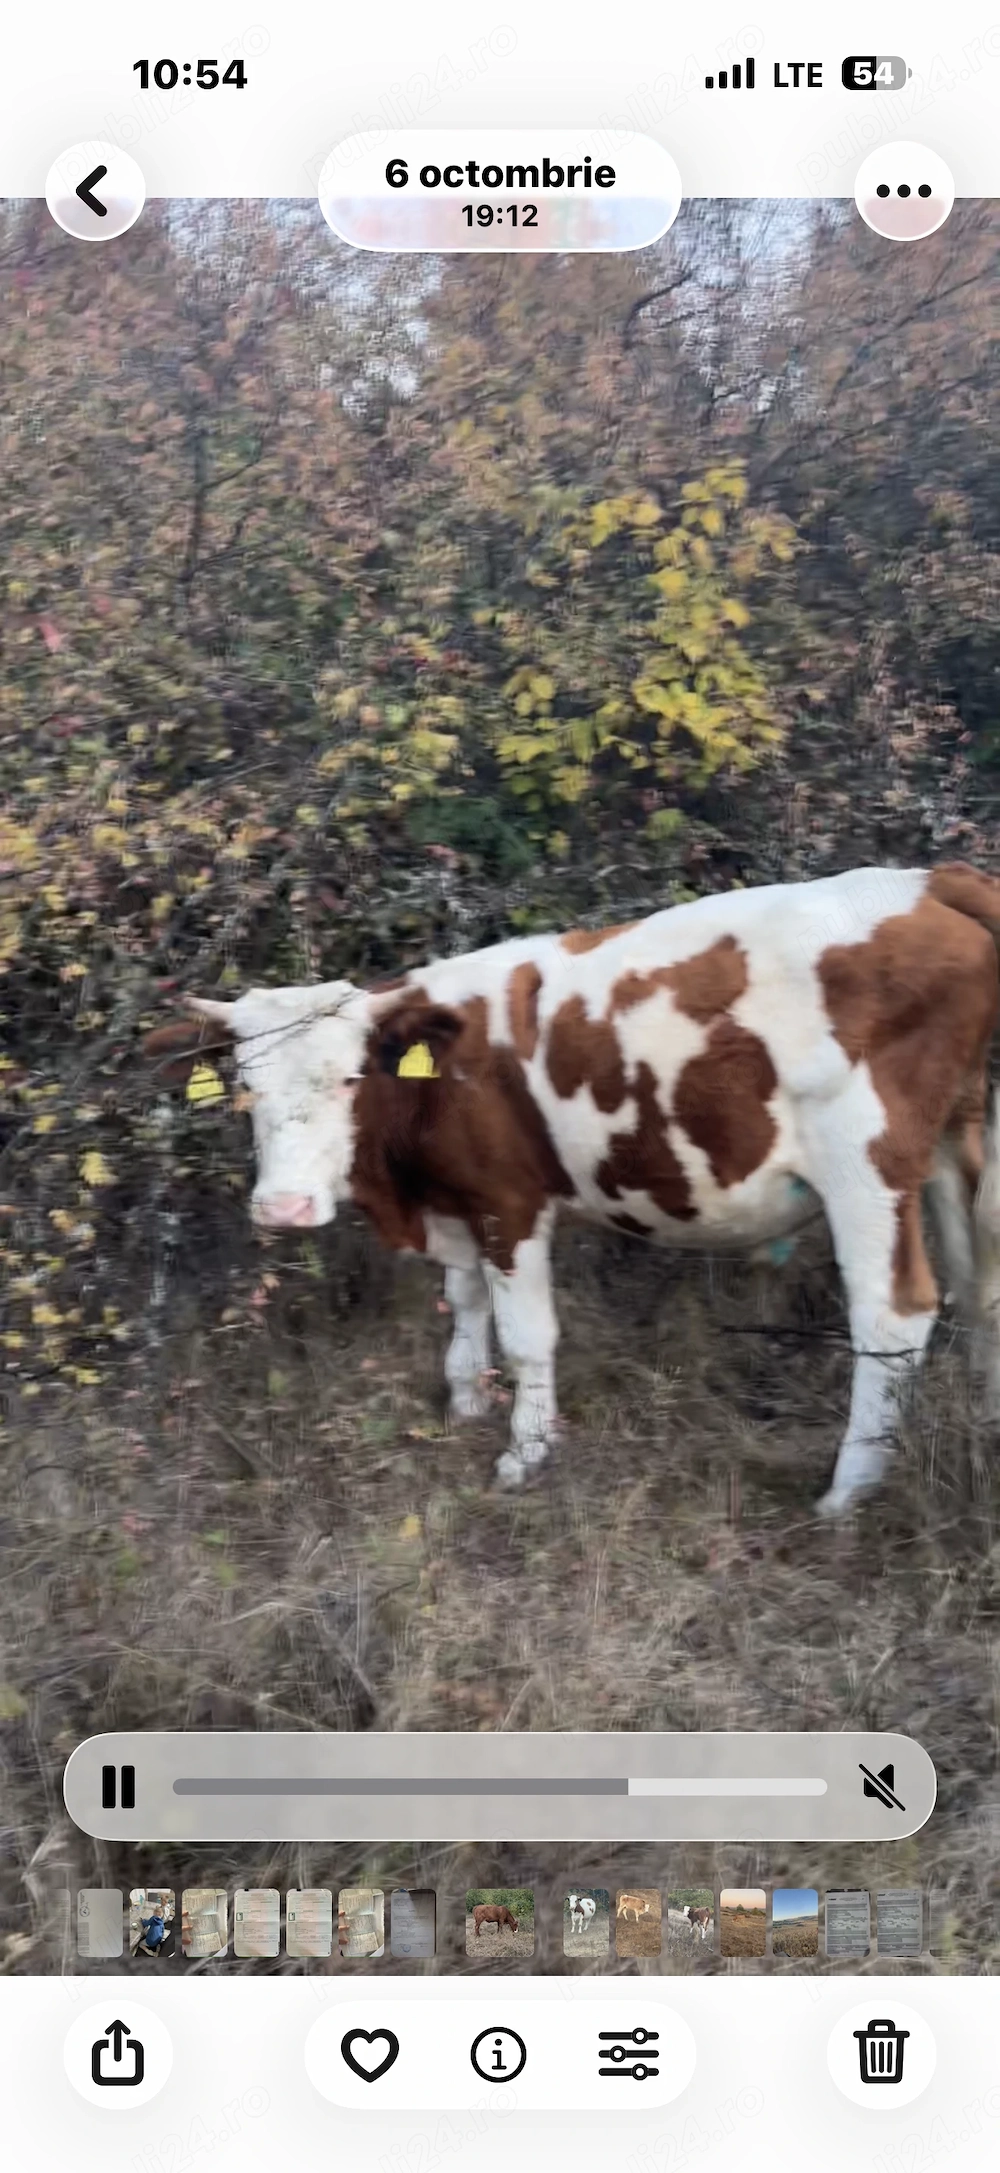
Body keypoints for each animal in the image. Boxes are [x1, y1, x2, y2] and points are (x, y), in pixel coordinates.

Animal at [145, 861, 1000, 1517]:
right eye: (245, 1086)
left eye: (352, 1076)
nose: (284, 1207)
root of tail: (925, 880)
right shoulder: (458, 1204)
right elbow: (465, 1306)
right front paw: (465, 1403)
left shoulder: (509, 1203)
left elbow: (528, 1335)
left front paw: (523, 1454)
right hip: (958, 1140)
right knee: (979, 1283)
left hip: (865, 1161)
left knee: (894, 1314)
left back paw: (848, 1493)